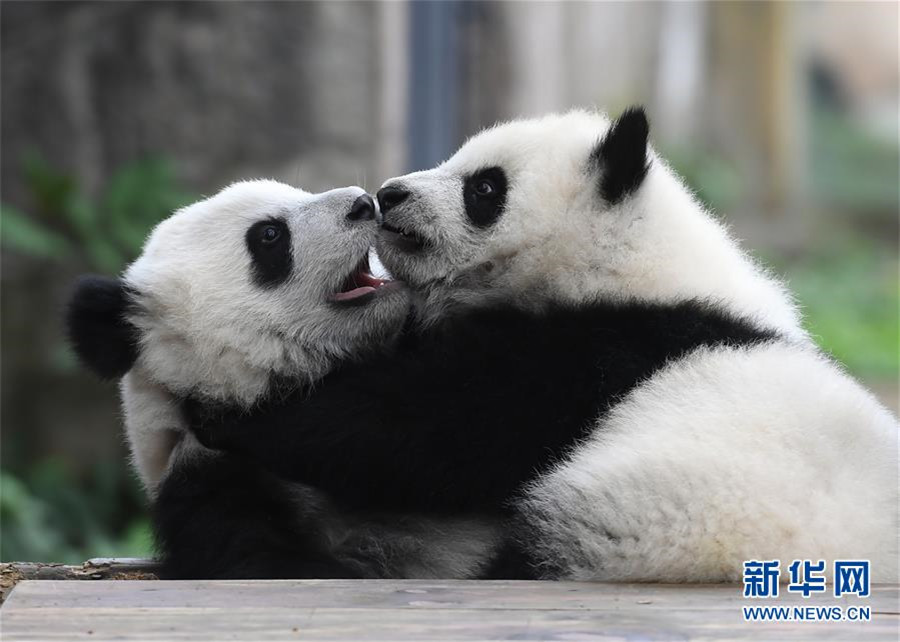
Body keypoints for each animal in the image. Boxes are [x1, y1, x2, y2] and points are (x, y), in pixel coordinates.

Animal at [197, 107, 900, 584]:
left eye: (484, 188)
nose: (390, 194)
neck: (632, 261)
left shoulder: (602, 345)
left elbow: (437, 426)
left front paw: (237, 417)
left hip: (652, 517)